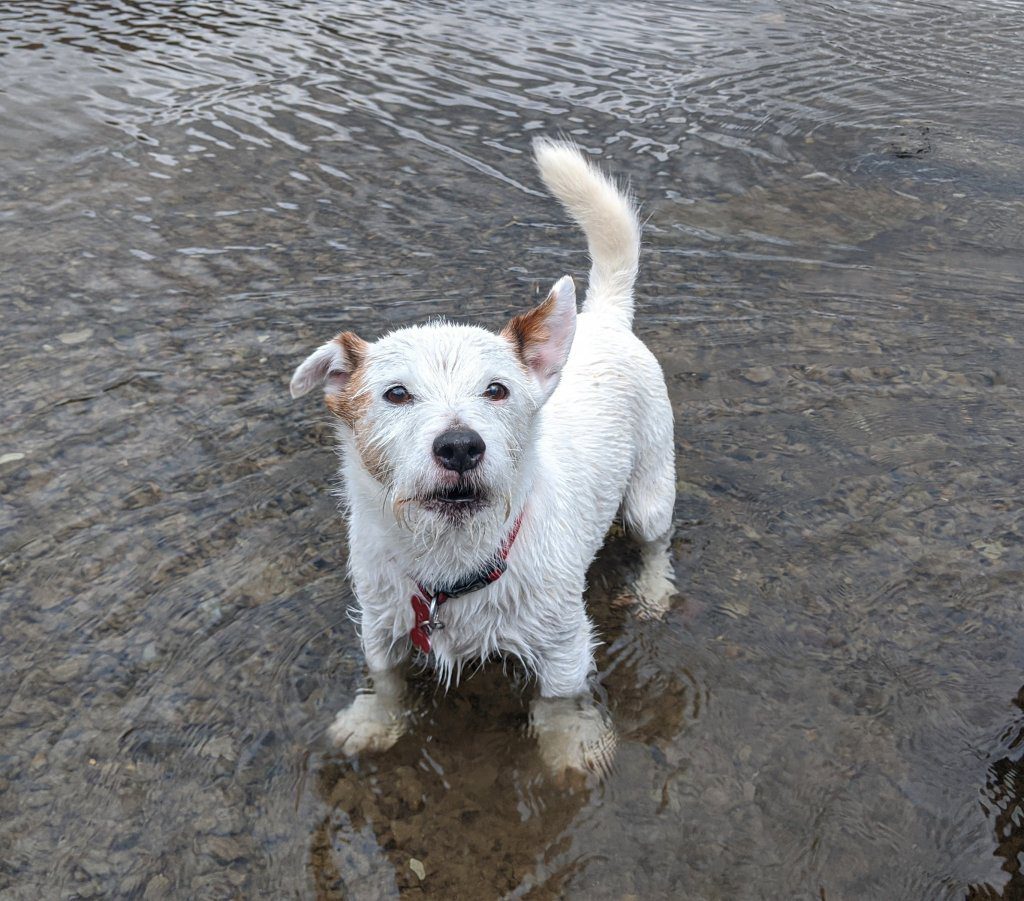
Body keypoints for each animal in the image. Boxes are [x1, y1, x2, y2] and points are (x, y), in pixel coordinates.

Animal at [290, 139, 671, 774]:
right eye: (396, 393)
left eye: (496, 390)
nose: (461, 446)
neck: (454, 562)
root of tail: (602, 317)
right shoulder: (381, 625)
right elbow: (385, 681)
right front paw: (373, 723)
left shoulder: (564, 645)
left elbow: (556, 704)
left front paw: (568, 747)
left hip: (650, 491)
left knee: (656, 540)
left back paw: (654, 590)